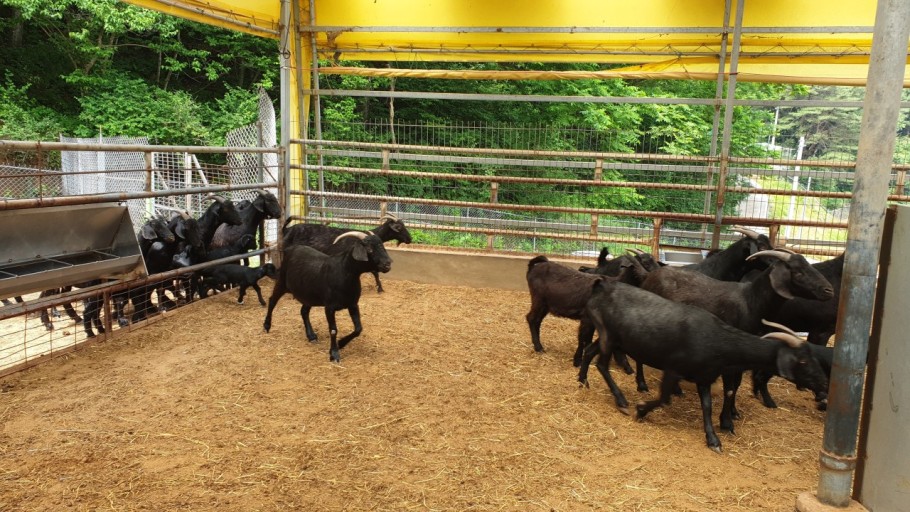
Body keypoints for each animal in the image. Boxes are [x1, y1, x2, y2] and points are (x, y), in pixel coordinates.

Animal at [263, 231, 393, 362]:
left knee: (304, 311)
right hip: (282, 282)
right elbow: (333, 330)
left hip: (309, 295)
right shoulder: (329, 307)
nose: (388, 264)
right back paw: (267, 326)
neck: (343, 273)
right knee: (272, 300)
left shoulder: (353, 304)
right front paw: (334, 353)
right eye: (370, 249)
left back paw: (311, 336)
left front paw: (341, 343)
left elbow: (358, 328)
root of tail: (291, 249)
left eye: (382, 245)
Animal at [577, 279, 829, 452]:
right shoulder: (673, 370)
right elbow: (665, 398)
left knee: (590, 353)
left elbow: (706, 406)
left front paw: (713, 439)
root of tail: (601, 286)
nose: (824, 383)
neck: (718, 340)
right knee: (601, 364)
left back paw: (582, 381)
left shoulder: (705, 377)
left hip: (610, 338)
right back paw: (621, 401)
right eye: (803, 361)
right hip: (608, 335)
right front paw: (641, 410)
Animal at [636, 249, 834, 429]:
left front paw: (734, 413)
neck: (751, 302)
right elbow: (730, 389)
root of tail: (651, 276)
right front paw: (726, 422)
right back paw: (642, 384)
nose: (829, 290)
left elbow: (736, 386)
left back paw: (676, 389)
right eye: (799, 271)